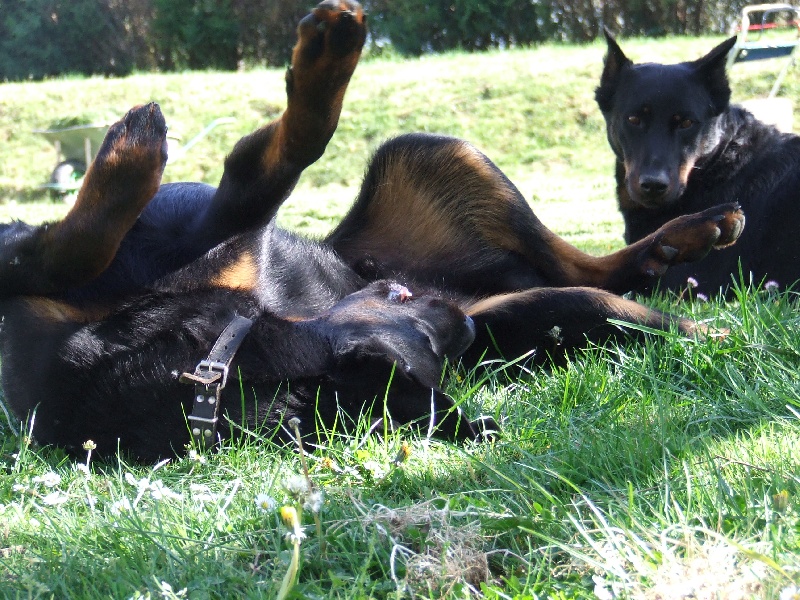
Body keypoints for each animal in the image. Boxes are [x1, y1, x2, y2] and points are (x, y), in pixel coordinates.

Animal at [3, 1, 748, 460]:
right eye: (430, 343)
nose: (459, 324)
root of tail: (475, 290)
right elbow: (73, 247)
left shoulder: (214, 229)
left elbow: (274, 162)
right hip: (553, 299)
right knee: (589, 276)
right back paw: (684, 252)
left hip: (442, 156)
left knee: (579, 260)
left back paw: (694, 233)